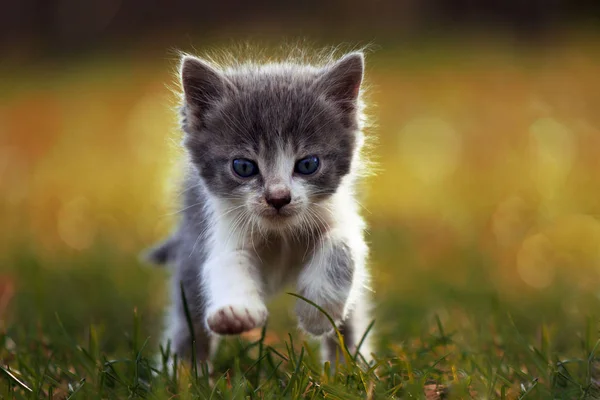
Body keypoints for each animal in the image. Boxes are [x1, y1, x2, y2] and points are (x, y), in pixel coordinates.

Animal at [145, 50, 372, 368]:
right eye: (243, 167)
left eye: (308, 164)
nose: (278, 197)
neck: (281, 235)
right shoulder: (219, 230)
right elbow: (227, 262)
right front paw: (235, 312)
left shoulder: (342, 215)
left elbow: (344, 245)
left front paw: (317, 311)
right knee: (187, 324)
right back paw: (182, 372)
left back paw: (348, 366)